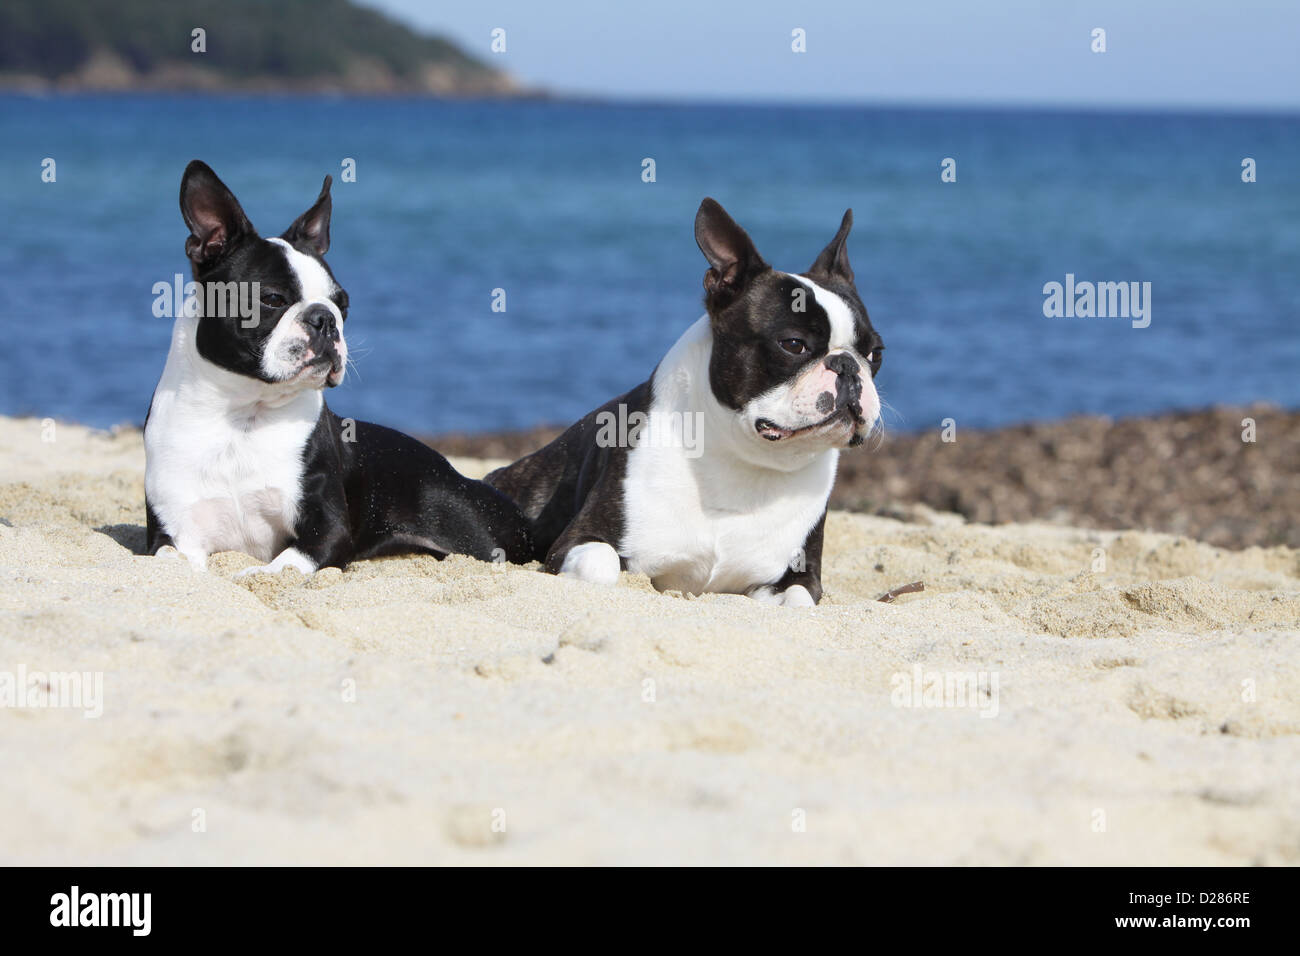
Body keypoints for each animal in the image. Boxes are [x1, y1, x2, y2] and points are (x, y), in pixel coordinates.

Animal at [141, 160, 527, 574]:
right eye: (273, 299)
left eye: (343, 304)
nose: (325, 319)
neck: (244, 415)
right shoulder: (174, 530)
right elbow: (171, 563)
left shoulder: (328, 528)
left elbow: (285, 565)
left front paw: (256, 572)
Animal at [488, 199, 883, 606]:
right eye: (793, 344)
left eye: (875, 353)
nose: (847, 365)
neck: (744, 461)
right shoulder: (577, 541)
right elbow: (602, 565)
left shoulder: (799, 576)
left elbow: (799, 601)